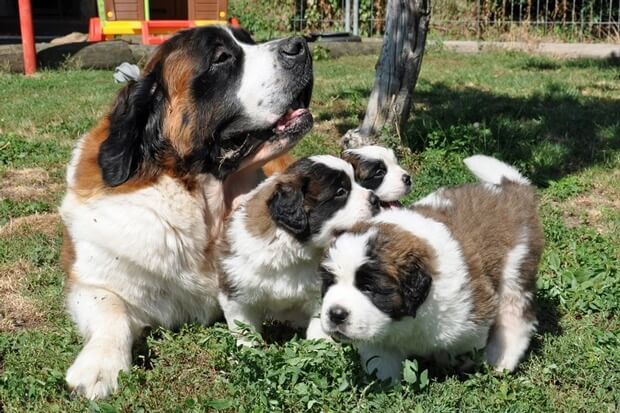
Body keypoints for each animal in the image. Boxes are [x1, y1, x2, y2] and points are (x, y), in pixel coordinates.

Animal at [61, 26, 314, 400]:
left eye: (249, 40)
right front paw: (97, 366)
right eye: (221, 58)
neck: (202, 202)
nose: (300, 45)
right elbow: (111, 308)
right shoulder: (93, 279)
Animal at [218, 154, 382, 344]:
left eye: (357, 181)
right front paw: (247, 346)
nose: (376, 200)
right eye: (341, 192)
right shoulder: (236, 288)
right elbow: (243, 324)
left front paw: (319, 346)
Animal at [320, 155, 544, 384]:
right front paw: (384, 385)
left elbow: (462, 350)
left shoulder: (474, 317)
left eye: (368, 288)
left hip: (516, 269)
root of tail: (511, 190)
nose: (336, 314)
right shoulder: (378, 339)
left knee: (516, 316)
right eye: (330, 283)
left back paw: (501, 359)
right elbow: (381, 363)